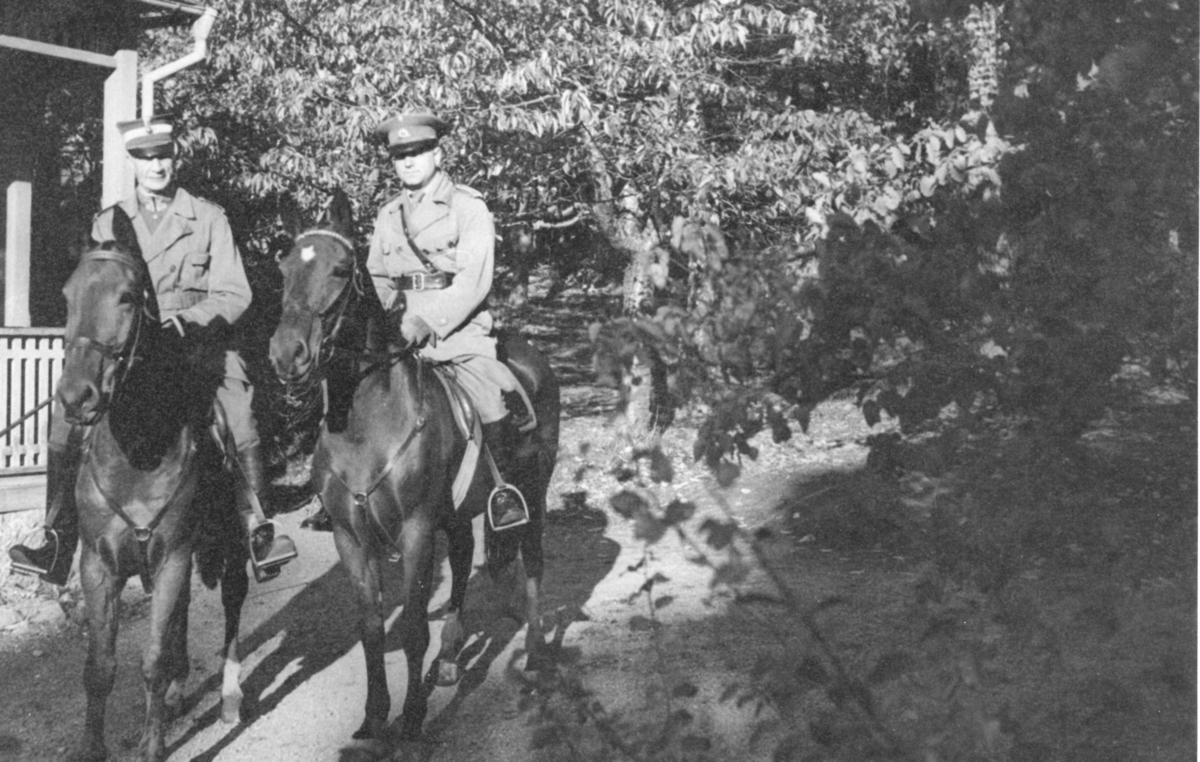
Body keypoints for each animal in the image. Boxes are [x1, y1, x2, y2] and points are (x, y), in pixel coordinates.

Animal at [57, 208, 250, 762]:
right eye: (67, 297)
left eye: (126, 296)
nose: (76, 397)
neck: (138, 452)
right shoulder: (98, 566)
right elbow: (100, 668)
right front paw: (93, 747)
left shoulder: (173, 559)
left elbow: (152, 658)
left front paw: (152, 743)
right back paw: (182, 692)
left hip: (231, 546)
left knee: (232, 611)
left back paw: (229, 697)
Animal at [268, 190, 561, 742]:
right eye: (284, 269)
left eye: (341, 270)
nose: (286, 355)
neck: (363, 426)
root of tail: (534, 357)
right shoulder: (350, 536)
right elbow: (370, 628)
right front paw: (374, 714)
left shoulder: (417, 530)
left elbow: (411, 627)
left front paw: (412, 717)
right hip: (457, 511)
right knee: (465, 559)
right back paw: (449, 660)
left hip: (532, 492)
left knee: (533, 561)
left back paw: (535, 655)